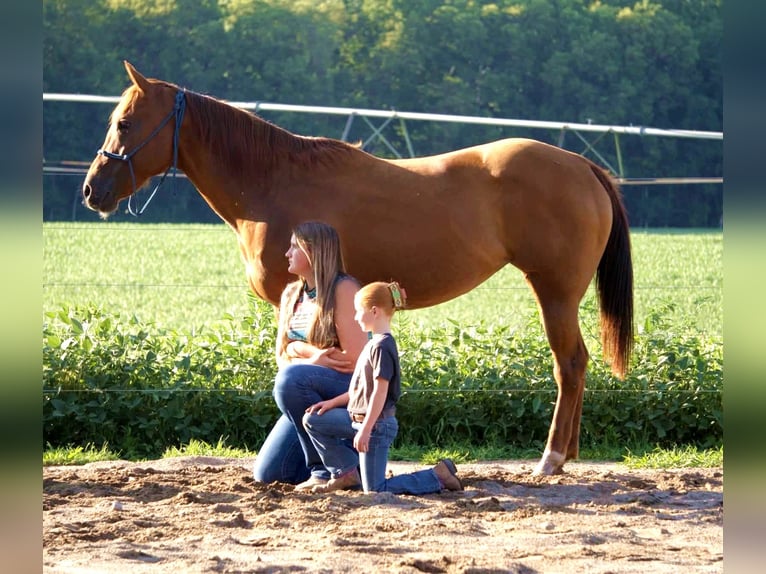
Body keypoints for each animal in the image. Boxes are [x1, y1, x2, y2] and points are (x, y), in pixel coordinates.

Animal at [82, 61, 633, 476]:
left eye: (124, 123)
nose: (92, 190)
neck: (272, 182)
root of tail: (584, 166)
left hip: (555, 291)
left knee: (570, 363)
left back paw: (551, 458)